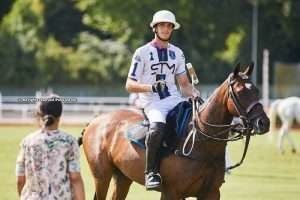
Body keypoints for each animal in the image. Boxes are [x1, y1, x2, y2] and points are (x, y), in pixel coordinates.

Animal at [80, 63, 270, 199]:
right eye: (239, 91)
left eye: (256, 90)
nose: (264, 123)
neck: (201, 141)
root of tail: (93, 122)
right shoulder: (172, 192)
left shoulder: (211, 193)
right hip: (101, 176)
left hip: (123, 177)